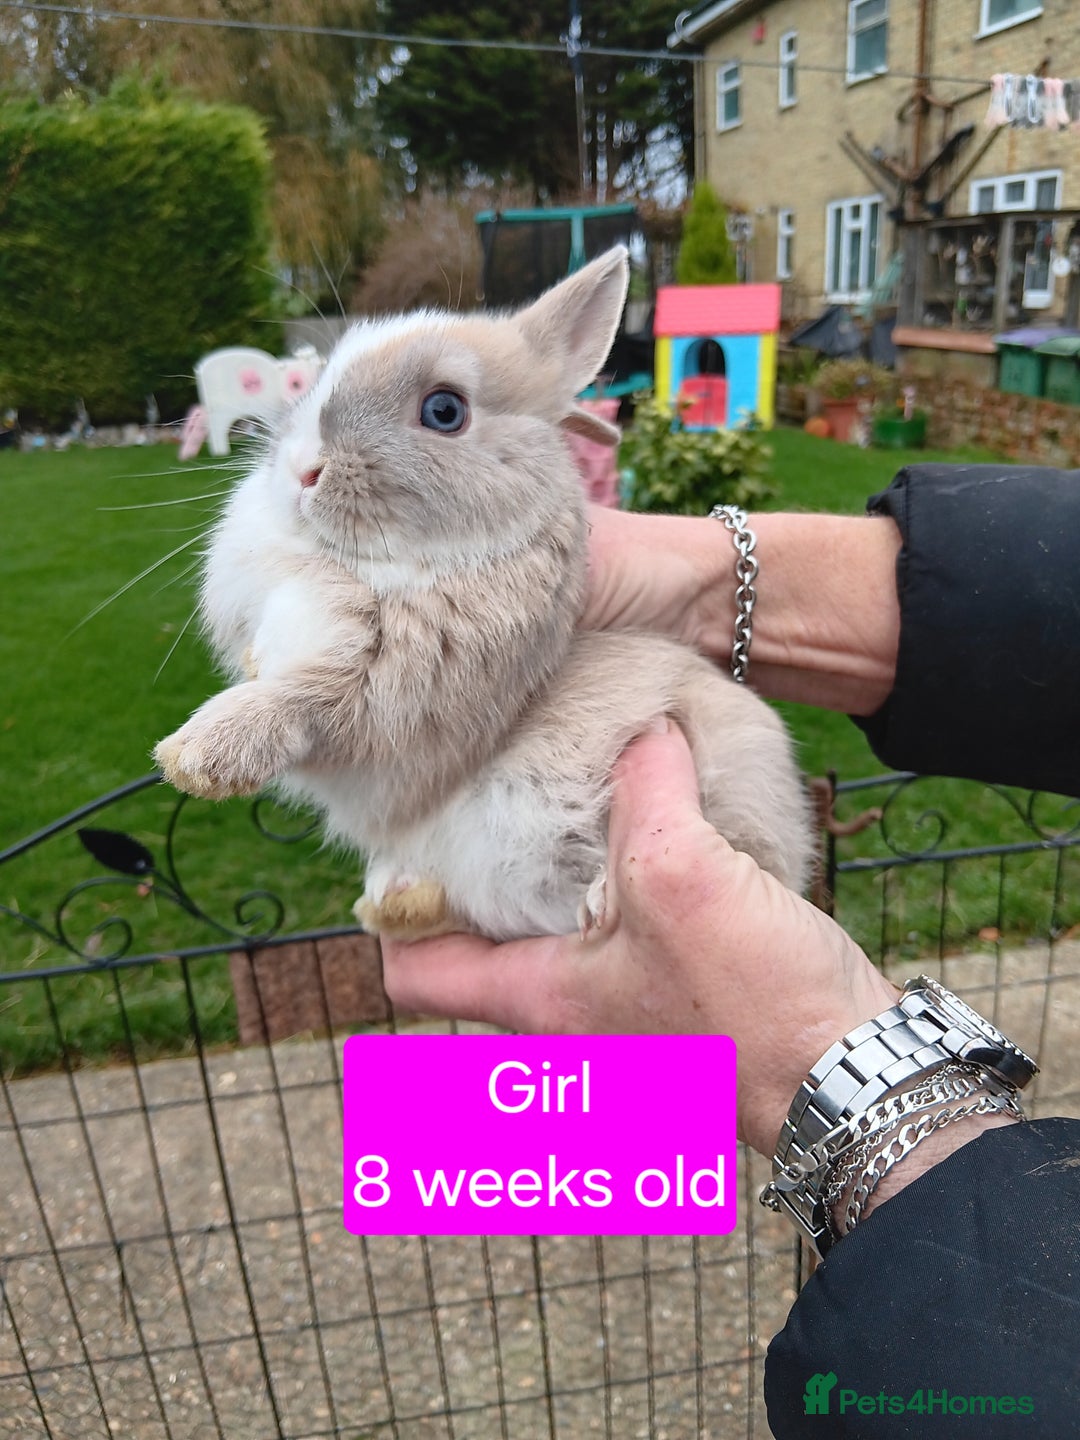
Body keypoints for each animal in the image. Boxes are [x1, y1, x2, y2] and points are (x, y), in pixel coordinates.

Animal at [154, 246, 814, 943]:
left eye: (444, 411)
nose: (302, 470)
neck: (361, 566)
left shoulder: (384, 699)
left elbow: (297, 703)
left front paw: (193, 758)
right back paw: (397, 902)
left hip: (739, 776)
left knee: (751, 850)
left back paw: (600, 898)